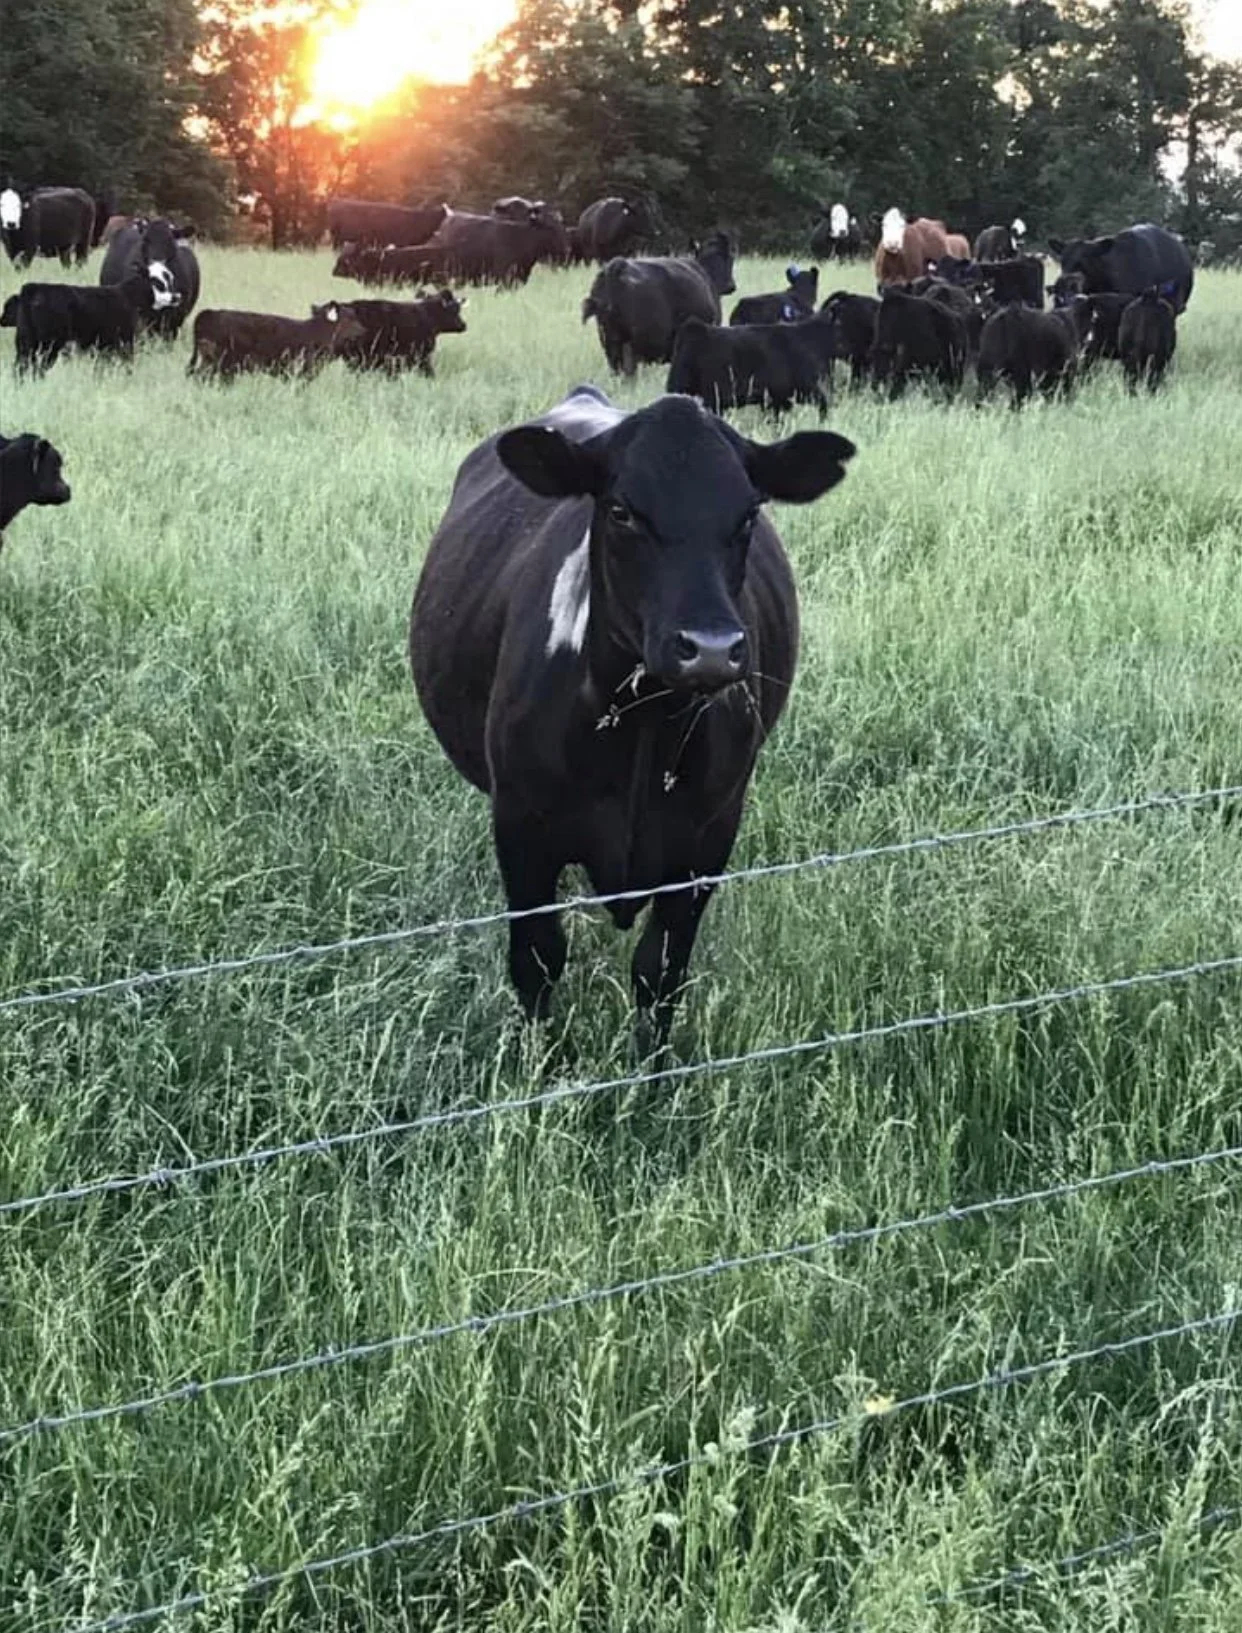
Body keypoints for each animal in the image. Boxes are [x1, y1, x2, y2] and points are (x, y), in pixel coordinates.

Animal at [2, 267, 180, 373]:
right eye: (159, 283)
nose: (177, 297)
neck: (127, 296)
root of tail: (33, 288)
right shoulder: (124, 342)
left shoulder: (103, 347)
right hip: (47, 345)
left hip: (26, 343)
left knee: (21, 368)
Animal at [408, 383, 855, 1046]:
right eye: (621, 512)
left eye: (749, 515)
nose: (711, 647)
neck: (645, 730)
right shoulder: (520, 828)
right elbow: (537, 959)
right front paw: (544, 1062)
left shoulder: (707, 840)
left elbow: (661, 970)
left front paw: (652, 1072)